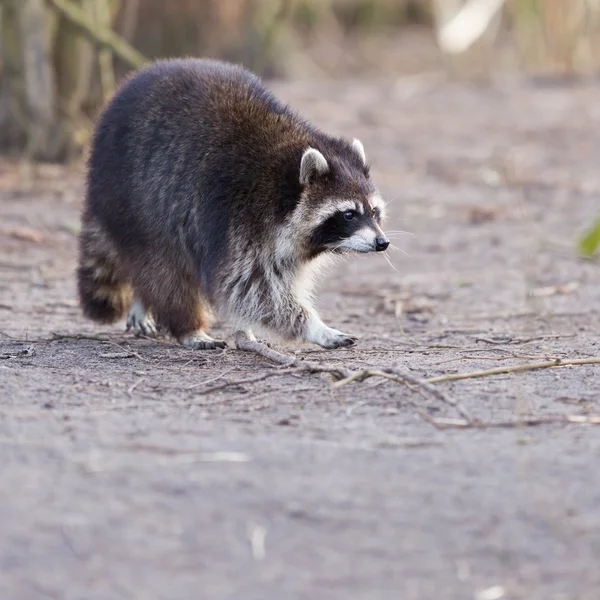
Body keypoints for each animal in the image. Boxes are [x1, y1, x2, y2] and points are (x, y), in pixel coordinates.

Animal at [77, 58, 390, 350]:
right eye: (349, 214)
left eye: (374, 212)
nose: (382, 242)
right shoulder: (236, 214)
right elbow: (250, 287)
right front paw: (313, 326)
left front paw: (248, 327)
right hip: (136, 200)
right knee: (162, 268)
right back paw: (188, 326)